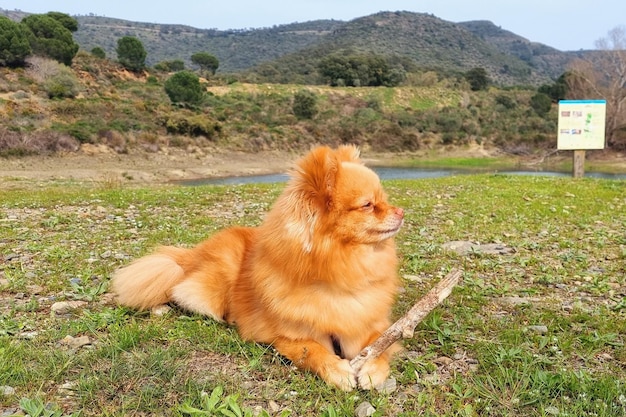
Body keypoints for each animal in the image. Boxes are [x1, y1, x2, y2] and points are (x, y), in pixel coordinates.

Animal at [111, 144, 404, 390]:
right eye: (368, 205)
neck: (342, 273)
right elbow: (311, 349)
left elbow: (380, 346)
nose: (401, 212)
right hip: (215, 282)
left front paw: (372, 370)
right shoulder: (282, 336)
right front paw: (336, 369)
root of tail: (193, 254)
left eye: (384, 199)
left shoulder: (369, 326)